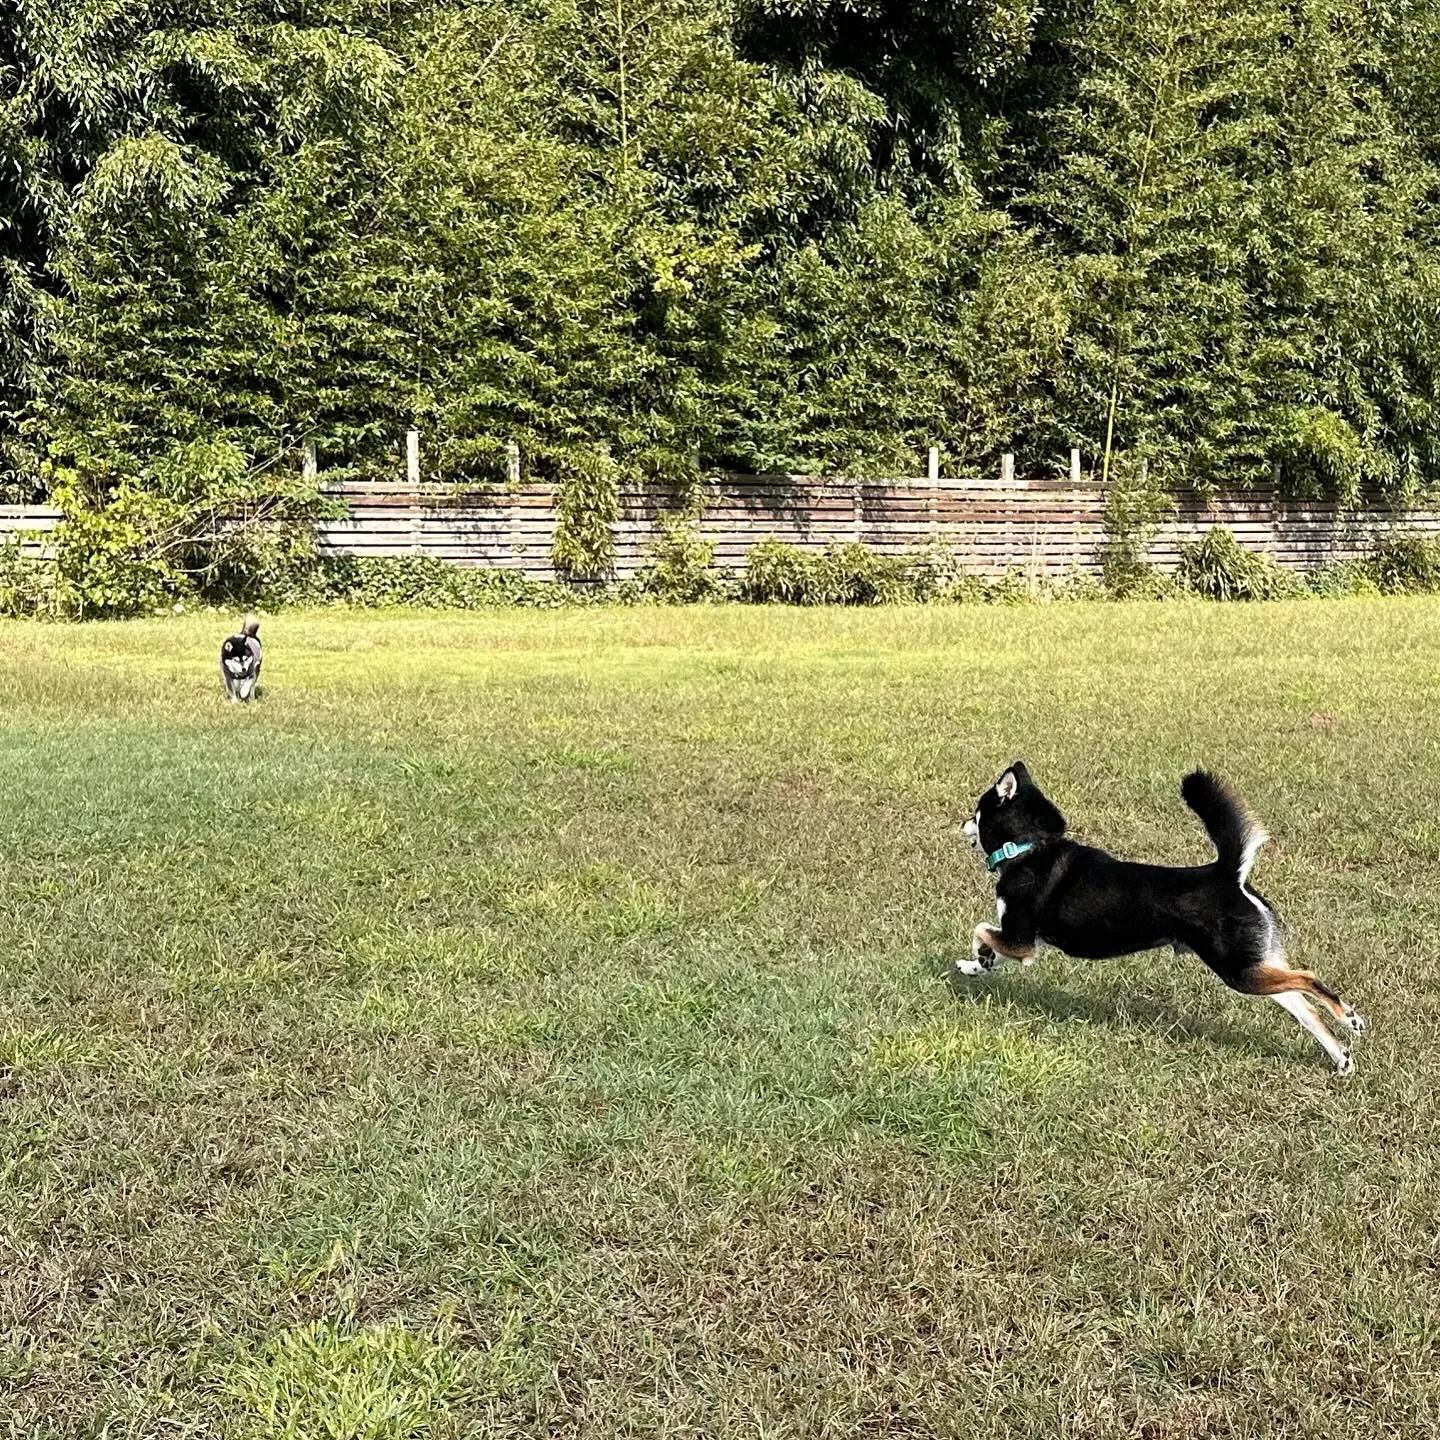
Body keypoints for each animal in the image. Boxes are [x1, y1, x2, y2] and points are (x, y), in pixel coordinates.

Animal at [961, 766, 1365, 1071]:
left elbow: (980, 930)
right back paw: (1340, 1057)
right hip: (1254, 964)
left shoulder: (1021, 940)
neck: (1028, 848)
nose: (960, 823)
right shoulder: (1018, 939)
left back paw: (1349, 1017)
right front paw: (978, 966)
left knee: (1308, 979)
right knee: (1304, 1007)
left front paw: (975, 959)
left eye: (976, 810)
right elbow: (989, 943)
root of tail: (1226, 875)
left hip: (1238, 971)